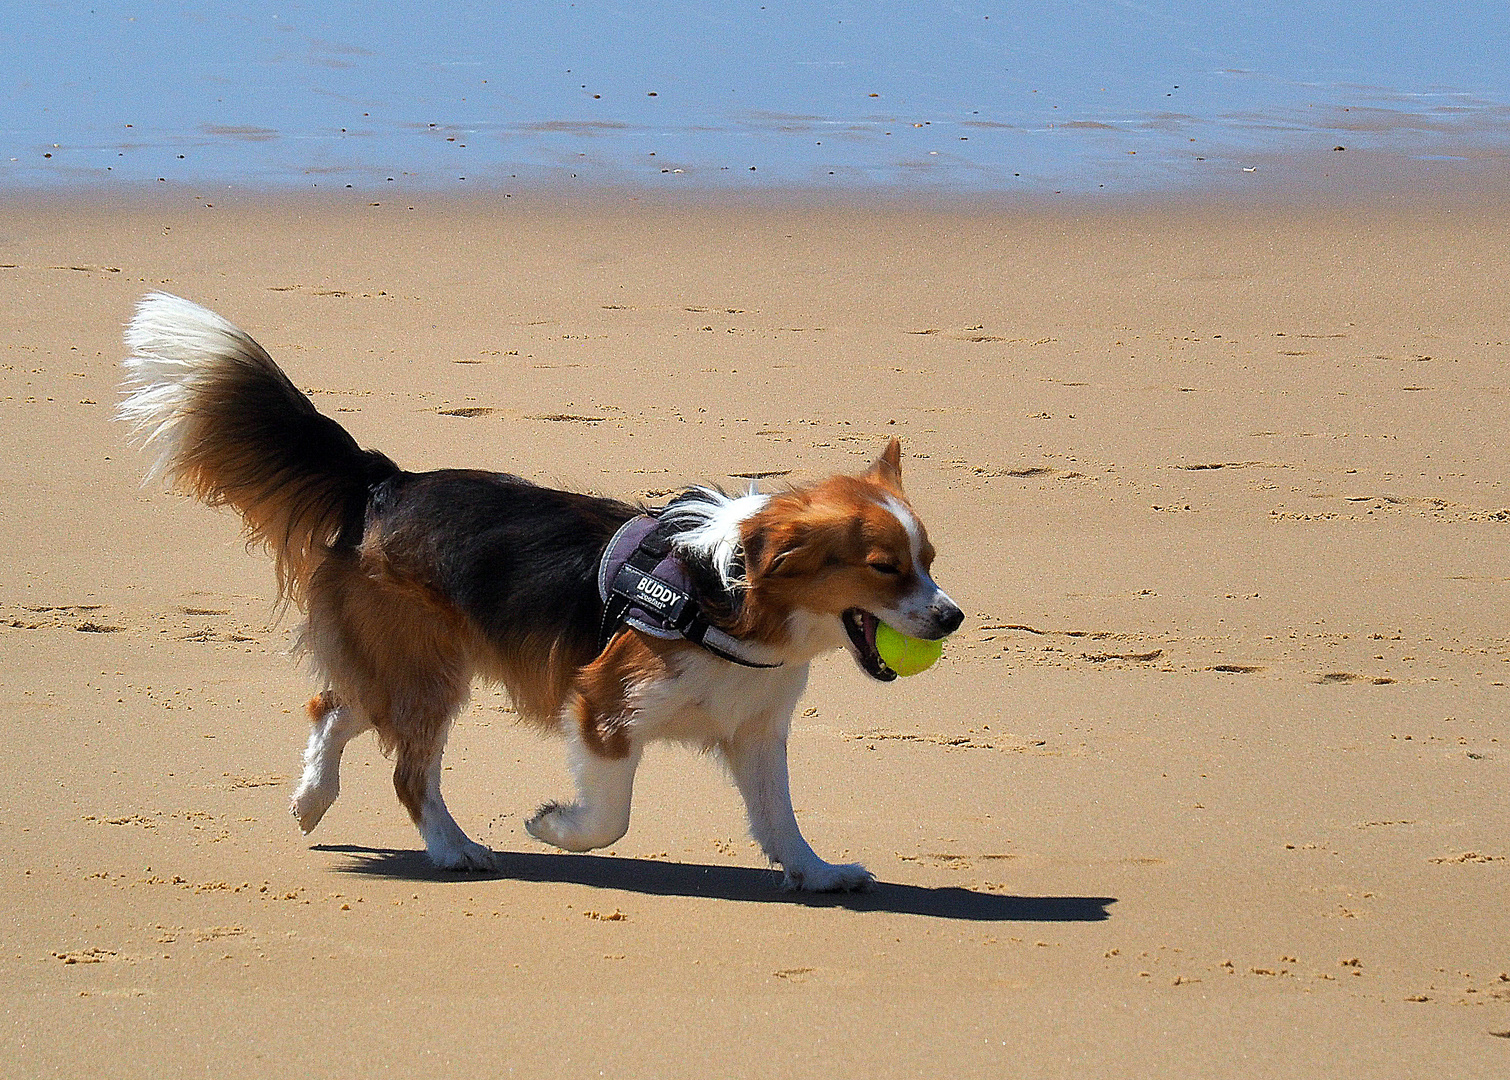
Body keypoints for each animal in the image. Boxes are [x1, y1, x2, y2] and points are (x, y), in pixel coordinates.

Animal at [120, 291, 966, 894]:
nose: (953, 617)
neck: (726, 598)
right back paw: (454, 850)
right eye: (885, 567)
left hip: (411, 665)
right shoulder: (602, 707)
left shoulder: (756, 732)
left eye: (928, 559)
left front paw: (817, 872)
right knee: (406, 771)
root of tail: (385, 481)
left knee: (334, 705)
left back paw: (311, 800)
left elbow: (780, 818)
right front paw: (553, 827)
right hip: (428, 672)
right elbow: (612, 818)